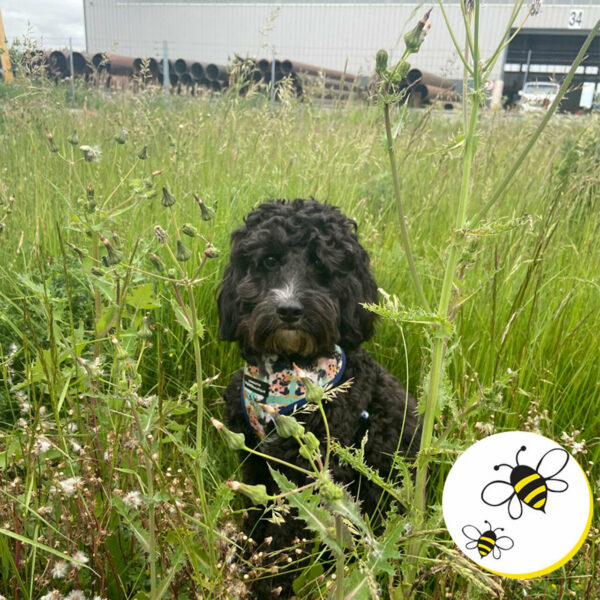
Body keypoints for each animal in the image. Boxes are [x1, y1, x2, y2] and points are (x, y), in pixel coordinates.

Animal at [218, 200, 420, 596]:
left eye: (322, 266)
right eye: (269, 259)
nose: (289, 310)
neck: (284, 374)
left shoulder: (312, 476)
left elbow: (284, 538)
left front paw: (267, 583)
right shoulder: (257, 463)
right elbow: (259, 515)